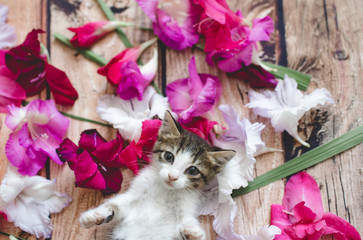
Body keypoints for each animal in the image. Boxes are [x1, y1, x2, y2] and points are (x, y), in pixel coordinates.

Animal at [79, 111, 236, 239]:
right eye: (169, 156)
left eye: (192, 170)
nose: (172, 177)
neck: (165, 191)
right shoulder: (137, 193)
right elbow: (117, 204)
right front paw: (95, 215)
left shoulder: (185, 206)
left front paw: (192, 232)